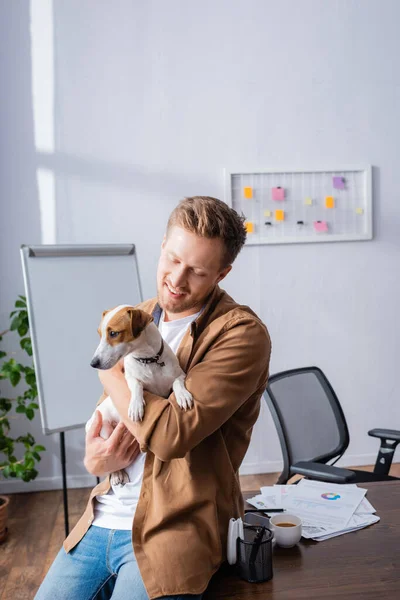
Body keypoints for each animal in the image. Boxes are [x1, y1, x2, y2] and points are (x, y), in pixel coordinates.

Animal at [88, 308, 194, 486]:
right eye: (99, 334)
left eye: (113, 333)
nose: (93, 363)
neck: (149, 360)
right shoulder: (131, 378)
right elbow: (136, 385)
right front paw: (136, 406)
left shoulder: (178, 375)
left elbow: (177, 382)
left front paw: (182, 395)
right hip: (104, 431)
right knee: (111, 464)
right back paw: (117, 475)